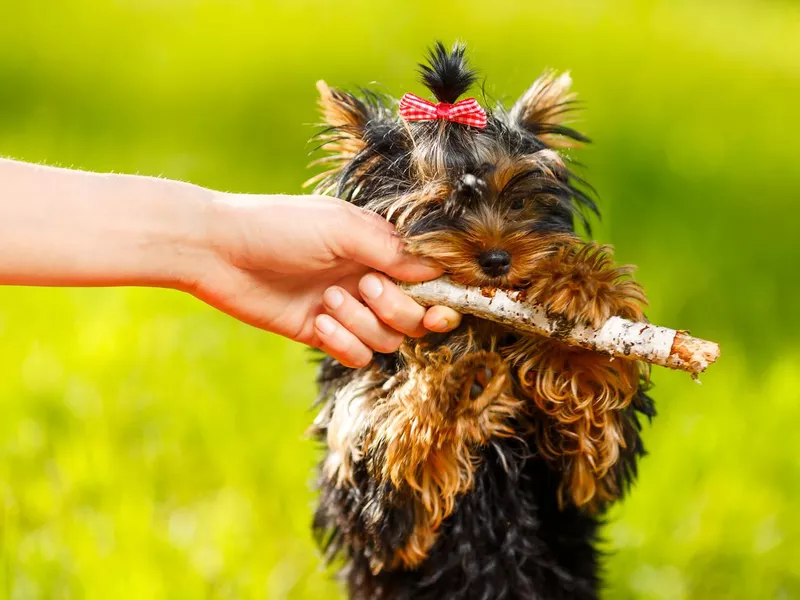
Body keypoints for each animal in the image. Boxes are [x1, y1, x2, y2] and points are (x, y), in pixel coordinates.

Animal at [308, 43, 656, 600]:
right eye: (440, 206)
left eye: (518, 200)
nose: (497, 259)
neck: (476, 329)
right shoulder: (364, 471)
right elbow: (398, 473)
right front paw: (454, 386)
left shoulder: (577, 489)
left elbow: (594, 454)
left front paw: (577, 297)